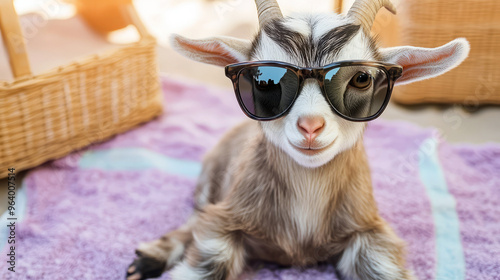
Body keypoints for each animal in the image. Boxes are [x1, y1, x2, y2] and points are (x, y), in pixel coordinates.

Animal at [126, 1, 468, 278]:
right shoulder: (224, 219)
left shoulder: (370, 231)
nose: (310, 126)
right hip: (209, 180)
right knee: (194, 218)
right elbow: (207, 252)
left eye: (361, 78)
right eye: (264, 81)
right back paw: (150, 258)